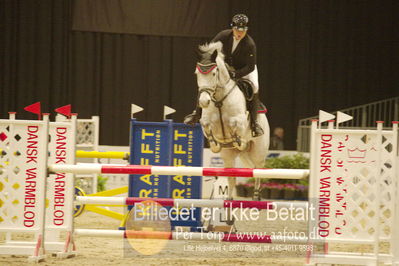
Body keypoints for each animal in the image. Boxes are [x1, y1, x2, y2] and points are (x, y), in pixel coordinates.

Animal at [195, 41, 270, 200]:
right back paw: (229, 199)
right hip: (229, 156)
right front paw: (215, 145)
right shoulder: (206, 122)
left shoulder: (240, 120)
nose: (204, 101)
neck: (218, 99)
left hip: (258, 153)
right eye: (197, 74)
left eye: (214, 73)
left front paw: (237, 140)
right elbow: (207, 126)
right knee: (232, 177)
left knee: (258, 171)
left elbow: (236, 126)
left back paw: (256, 197)